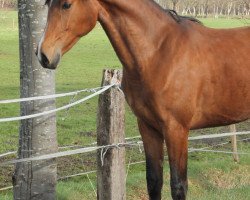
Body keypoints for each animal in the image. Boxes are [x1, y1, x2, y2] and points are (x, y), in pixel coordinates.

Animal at [37, 0, 250, 200]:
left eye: (66, 4)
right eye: (47, 4)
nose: (43, 55)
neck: (158, 52)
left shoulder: (176, 130)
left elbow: (178, 186)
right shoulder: (148, 127)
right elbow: (154, 181)